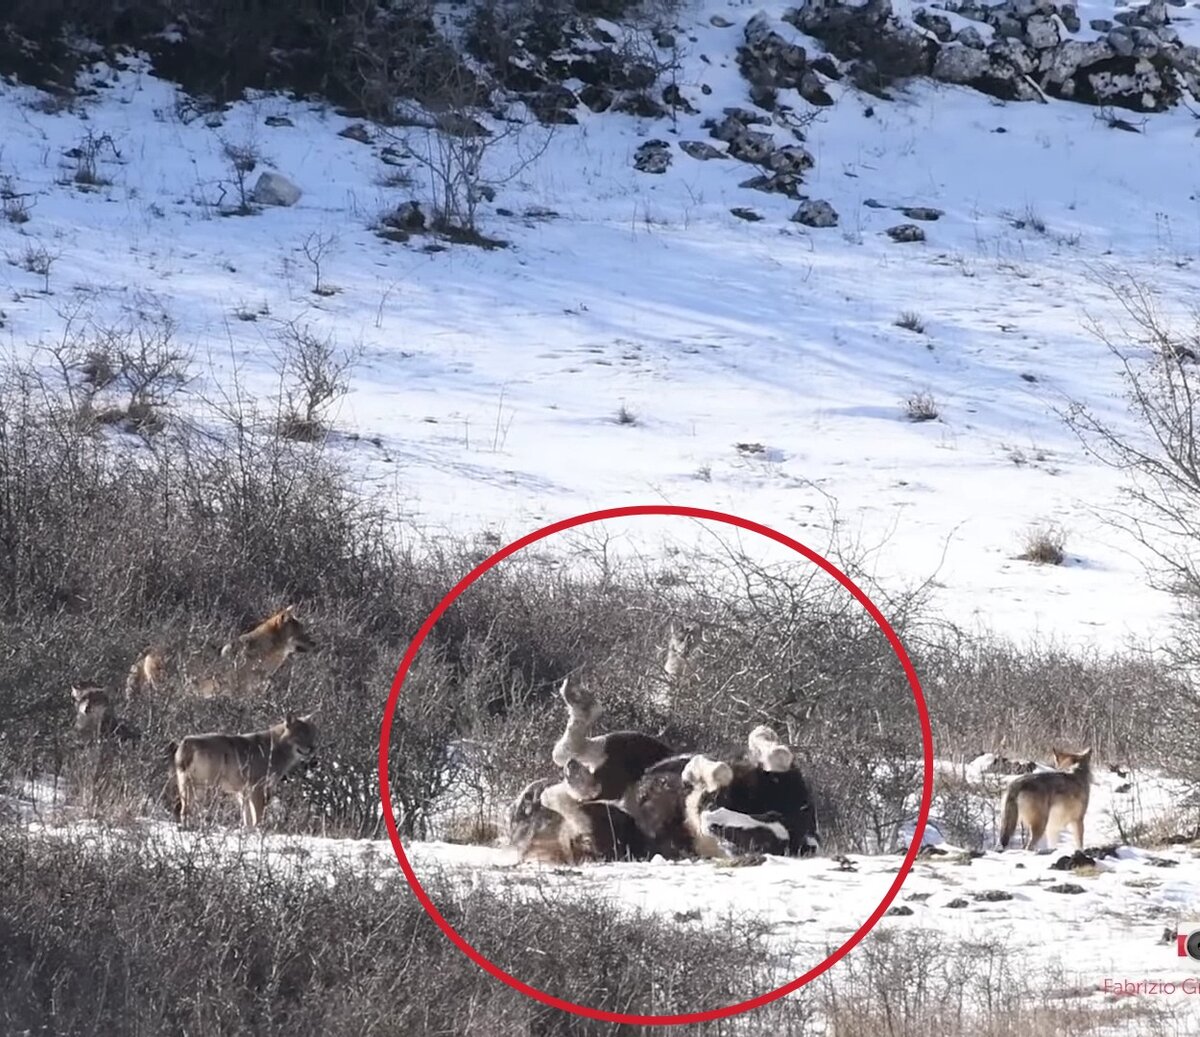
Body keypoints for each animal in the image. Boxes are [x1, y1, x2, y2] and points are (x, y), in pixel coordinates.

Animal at [170, 710, 319, 825]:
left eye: (312, 734)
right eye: (300, 735)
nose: (313, 748)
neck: (275, 748)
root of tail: (186, 742)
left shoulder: (243, 793)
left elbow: (247, 821)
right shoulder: (257, 789)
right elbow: (257, 818)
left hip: (189, 789)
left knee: (185, 811)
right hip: (205, 789)